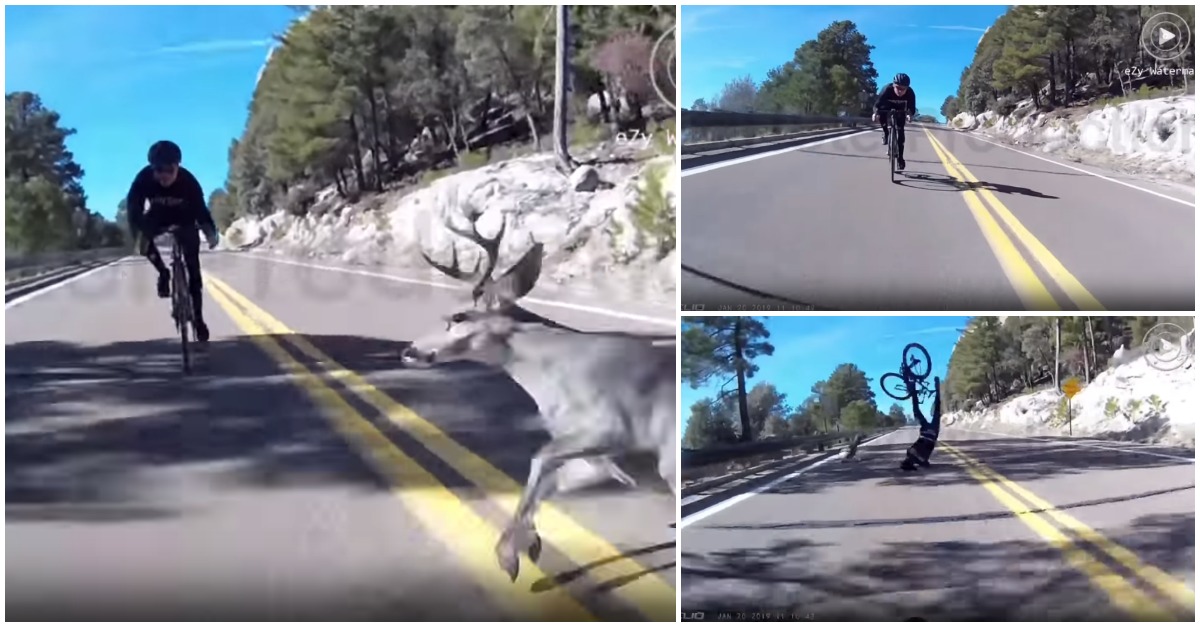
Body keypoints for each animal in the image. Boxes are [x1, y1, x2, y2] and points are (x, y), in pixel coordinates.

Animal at [403, 205, 681, 581]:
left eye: (457, 317)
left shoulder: (611, 425)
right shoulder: (600, 456)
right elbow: (554, 482)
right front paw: (529, 543)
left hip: (667, 457)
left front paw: (509, 555)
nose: (409, 351)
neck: (550, 373)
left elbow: (539, 461)